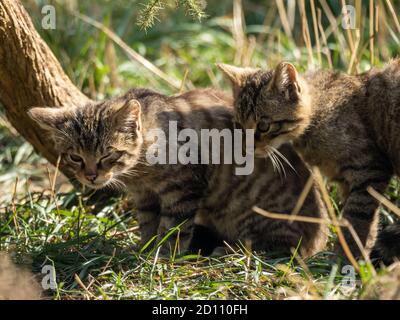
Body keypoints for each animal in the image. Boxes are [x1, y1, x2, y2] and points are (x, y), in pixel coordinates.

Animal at [28, 87, 328, 258]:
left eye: (108, 155)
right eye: (76, 157)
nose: (90, 176)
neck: (140, 170)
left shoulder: (184, 188)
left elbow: (173, 227)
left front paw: (163, 255)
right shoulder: (144, 196)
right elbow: (148, 222)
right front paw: (145, 248)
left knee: (281, 246)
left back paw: (229, 250)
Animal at [217, 59, 400, 262]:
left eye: (263, 126)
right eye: (239, 125)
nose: (247, 147)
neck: (318, 112)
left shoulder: (369, 169)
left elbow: (357, 218)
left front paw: (346, 257)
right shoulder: (349, 181)